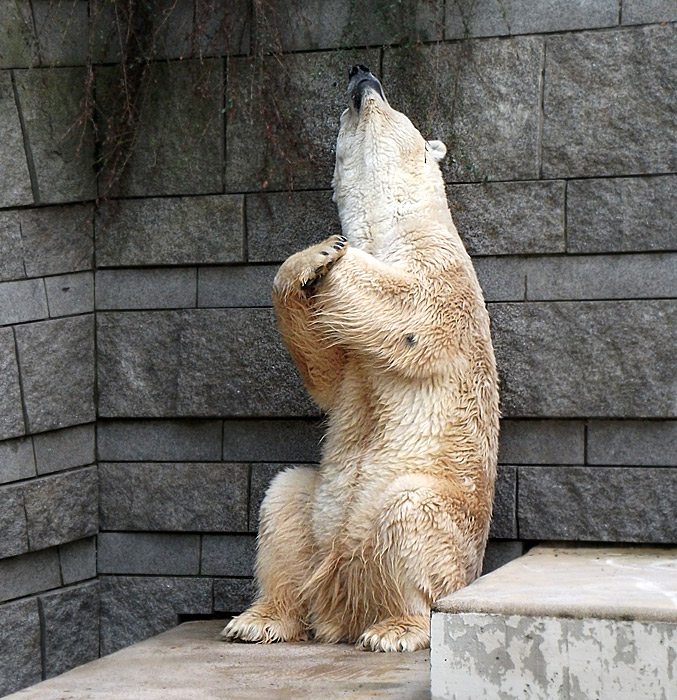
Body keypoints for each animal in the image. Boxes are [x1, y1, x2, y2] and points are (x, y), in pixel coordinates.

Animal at [222, 64, 496, 652]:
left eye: (391, 102)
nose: (361, 70)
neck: (390, 226)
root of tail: (337, 603)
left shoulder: (445, 269)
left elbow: (412, 311)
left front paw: (330, 253)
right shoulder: (347, 357)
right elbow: (327, 372)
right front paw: (315, 258)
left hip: (441, 528)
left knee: (407, 519)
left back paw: (392, 628)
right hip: (315, 514)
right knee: (284, 503)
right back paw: (259, 619)